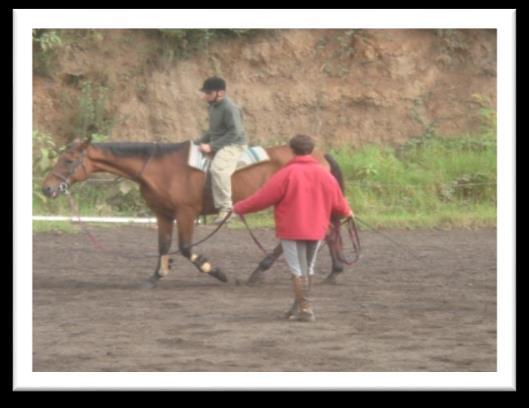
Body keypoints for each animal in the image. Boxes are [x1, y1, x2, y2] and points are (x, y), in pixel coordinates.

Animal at [43, 137, 348, 286]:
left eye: (68, 160)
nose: (47, 188)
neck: (158, 166)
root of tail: (318, 154)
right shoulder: (163, 213)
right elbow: (163, 245)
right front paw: (155, 277)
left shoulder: (186, 212)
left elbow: (186, 248)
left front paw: (217, 272)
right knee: (326, 232)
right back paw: (330, 271)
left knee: (321, 232)